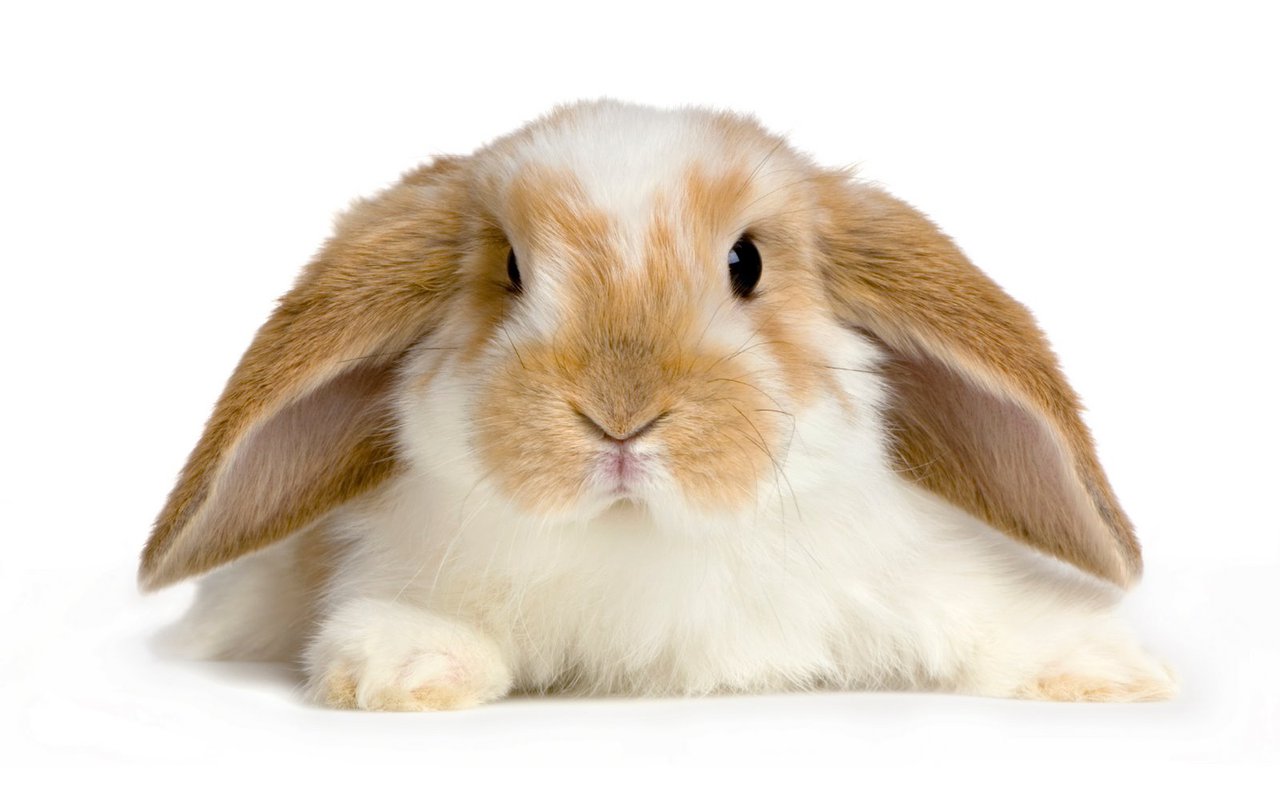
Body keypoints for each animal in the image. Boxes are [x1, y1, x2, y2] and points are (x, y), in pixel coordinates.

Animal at [141, 99, 1176, 710]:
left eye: (746, 262)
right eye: (510, 269)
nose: (621, 416)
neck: (645, 537)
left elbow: (991, 621)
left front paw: (1111, 669)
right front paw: (404, 667)